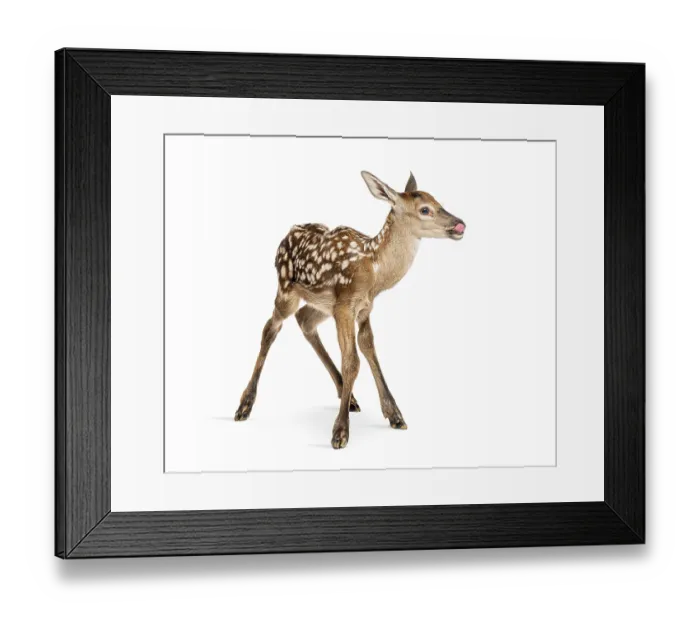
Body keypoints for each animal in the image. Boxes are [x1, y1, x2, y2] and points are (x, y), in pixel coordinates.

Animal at [234, 171, 466, 449]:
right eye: (425, 209)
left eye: (438, 201)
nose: (460, 224)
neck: (375, 271)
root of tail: (285, 236)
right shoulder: (345, 305)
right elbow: (352, 361)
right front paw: (340, 432)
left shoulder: (364, 307)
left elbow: (368, 349)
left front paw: (395, 415)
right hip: (287, 289)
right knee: (271, 328)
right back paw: (244, 405)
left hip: (322, 304)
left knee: (305, 320)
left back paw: (350, 396)